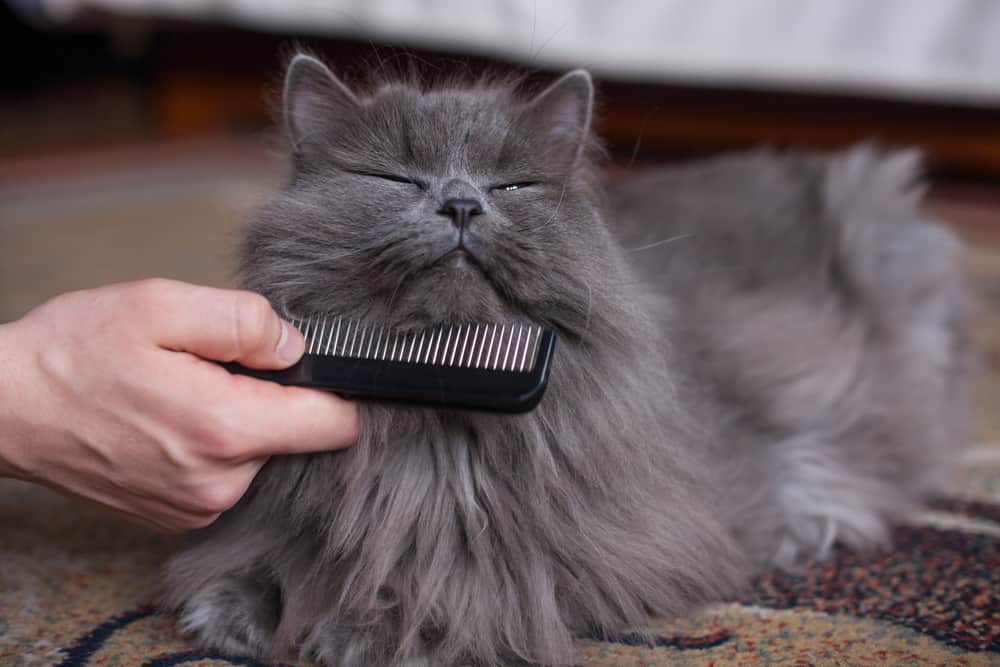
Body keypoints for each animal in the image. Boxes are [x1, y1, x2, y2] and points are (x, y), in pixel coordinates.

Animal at [162, 56, 968, 667]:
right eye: (397, 179)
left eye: (512, 185)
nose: (462, 204)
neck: (435, 421)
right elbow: (264, 554)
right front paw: (241, 607)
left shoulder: (636, 544)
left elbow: (484, 590)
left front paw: (364, 630)